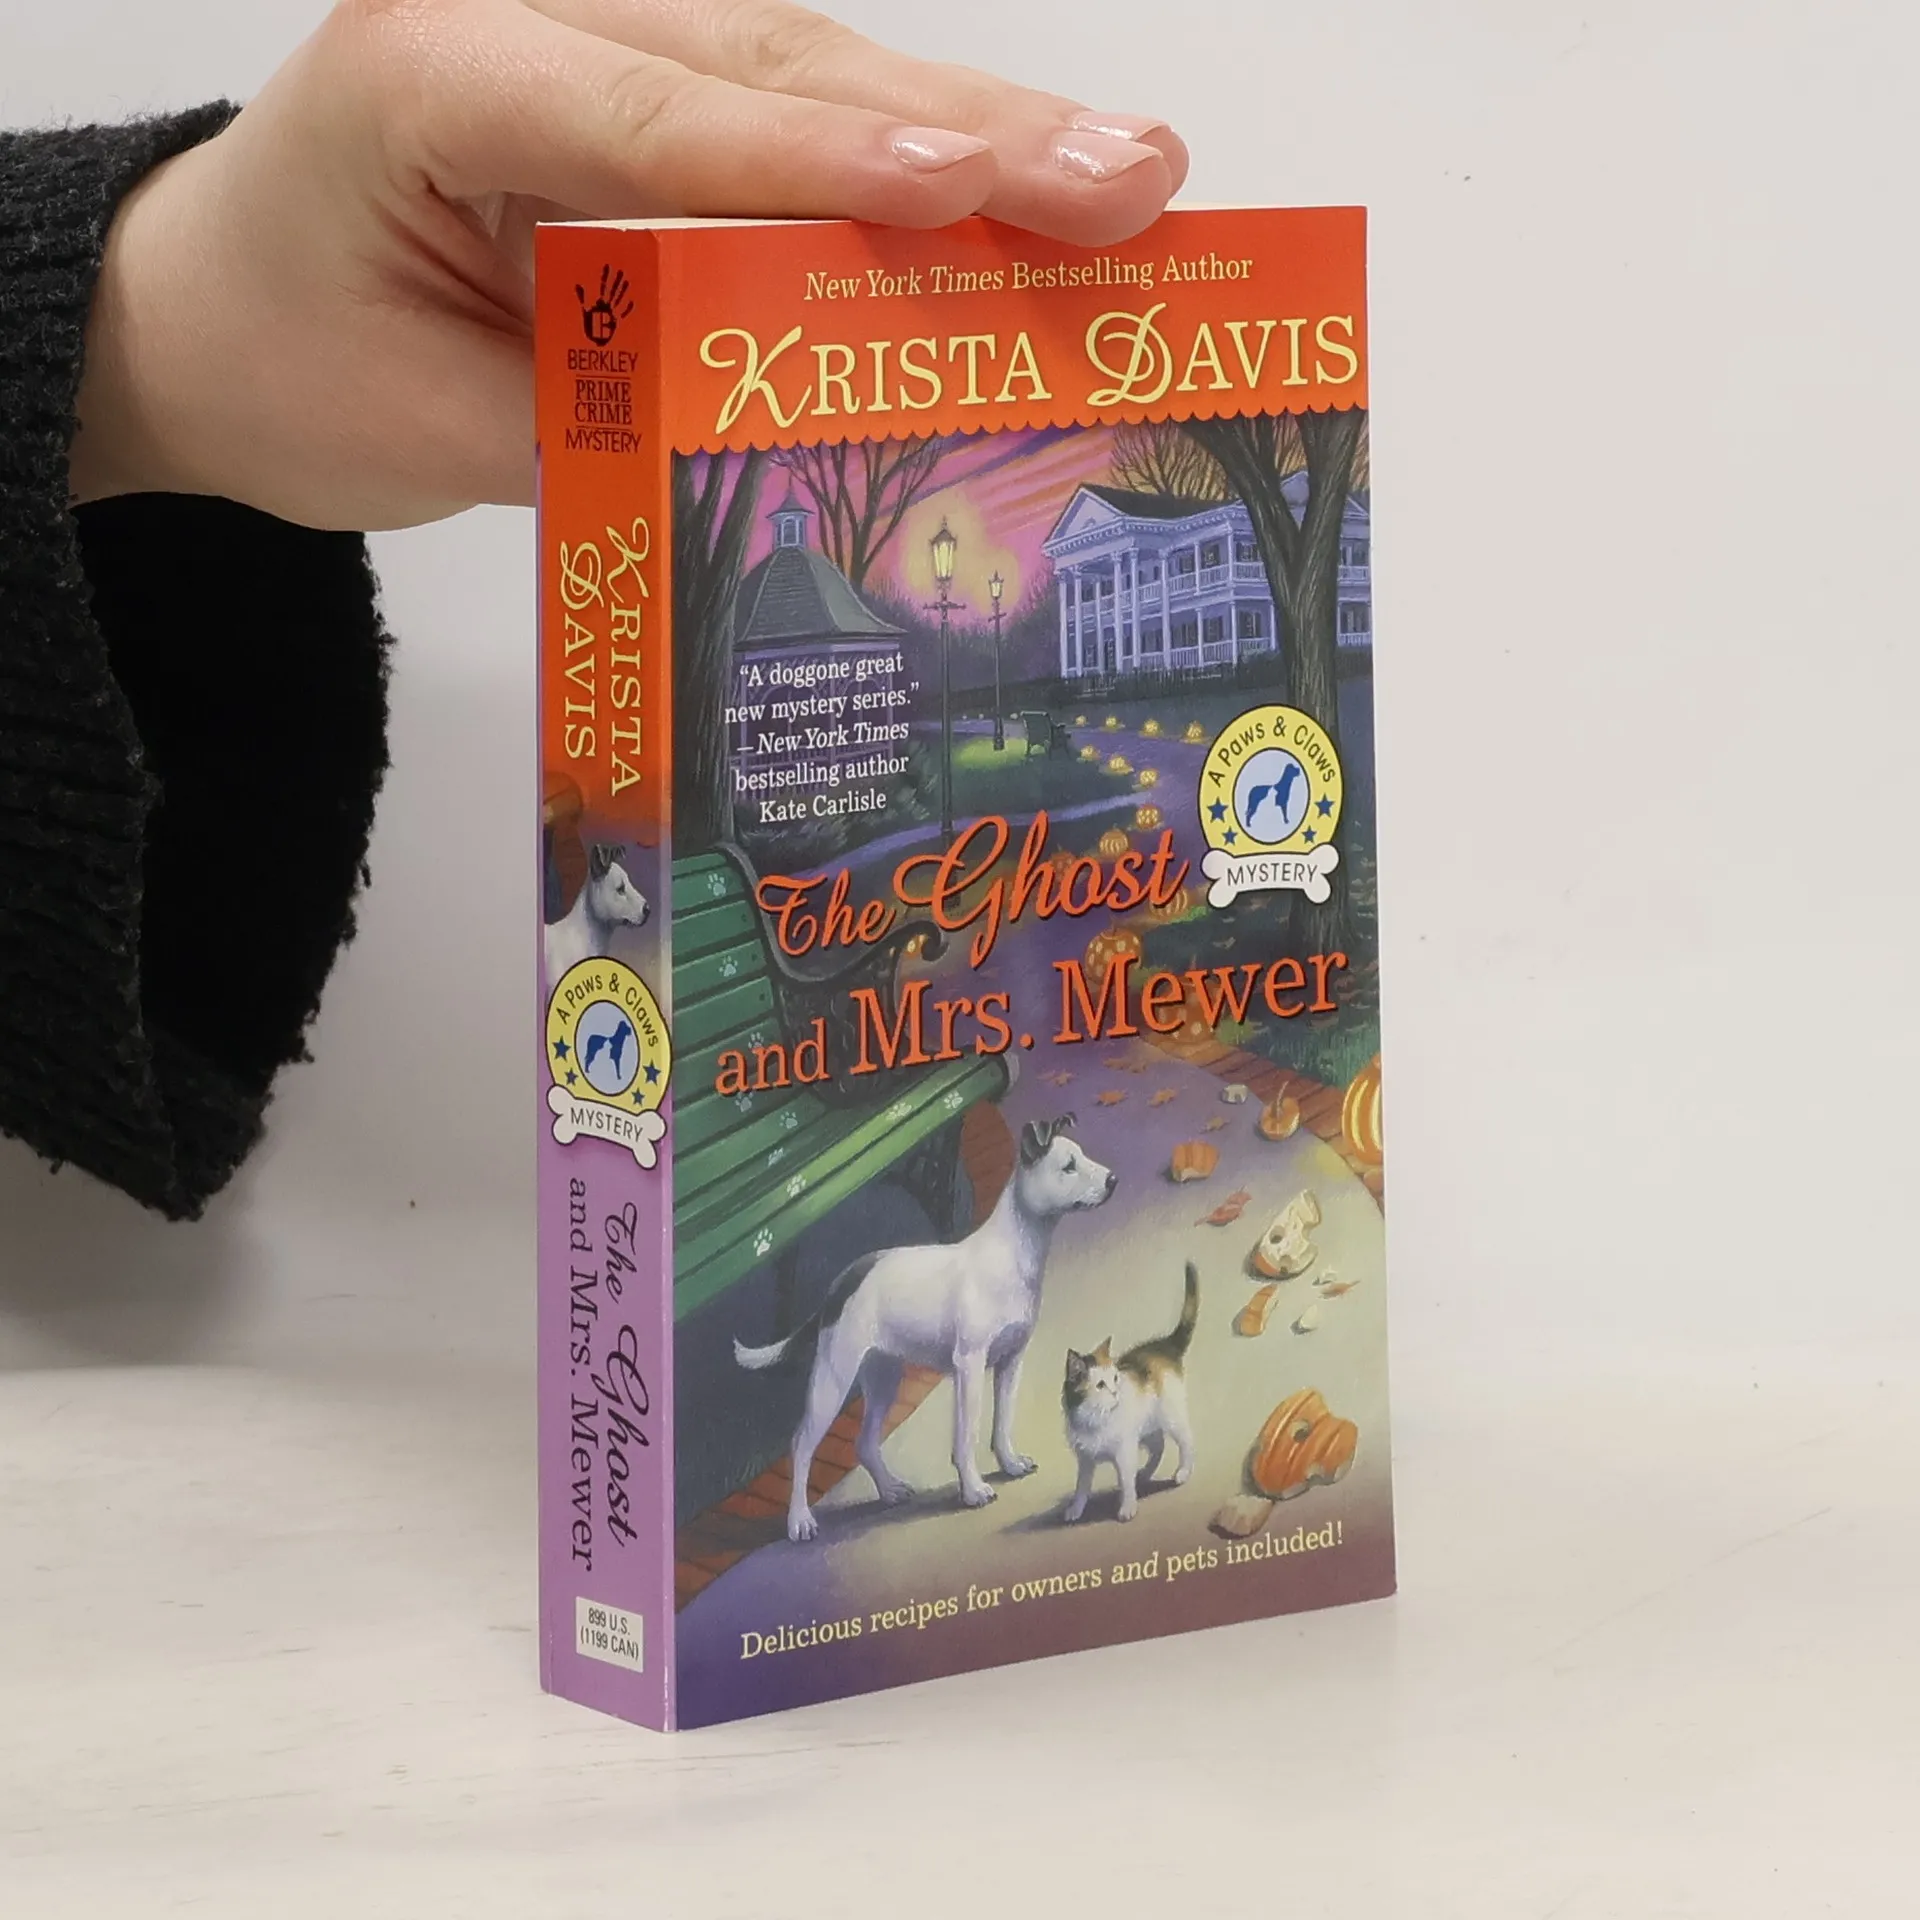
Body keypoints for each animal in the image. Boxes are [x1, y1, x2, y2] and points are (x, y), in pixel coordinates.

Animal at [735, 1115, 1116, 1542]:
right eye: (1068, 1166)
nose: (1113, 1180)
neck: (1013, 1252)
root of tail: (843, 1281)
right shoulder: (969, 1366)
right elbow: (966, 1436)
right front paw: (973, 1490)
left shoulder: (1010, 1362)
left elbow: (1002, 1422)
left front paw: (1010, 1464)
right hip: (832, 1378)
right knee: (801, 1444)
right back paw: (800, 1520)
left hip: (882, 1376)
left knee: (865, 1443)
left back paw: (889, 1490)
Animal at [1061, 1262, 1199, 1523]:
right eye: (1100, 1385)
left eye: (1115, 1378)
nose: (1116, 1392)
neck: (1095, 1416)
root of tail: (1164, 1345)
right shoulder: (1086, 1459)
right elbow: (1081, 1486)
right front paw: (1075, 1509)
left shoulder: (1123, 1451)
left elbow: (1125, 1481)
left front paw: (1127, 1506)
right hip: (1147, 1428)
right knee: (1158, 1447)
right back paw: (1144, 1473)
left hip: (1171, 1417)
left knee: (1186, 1440)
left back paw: (1183, 1472)